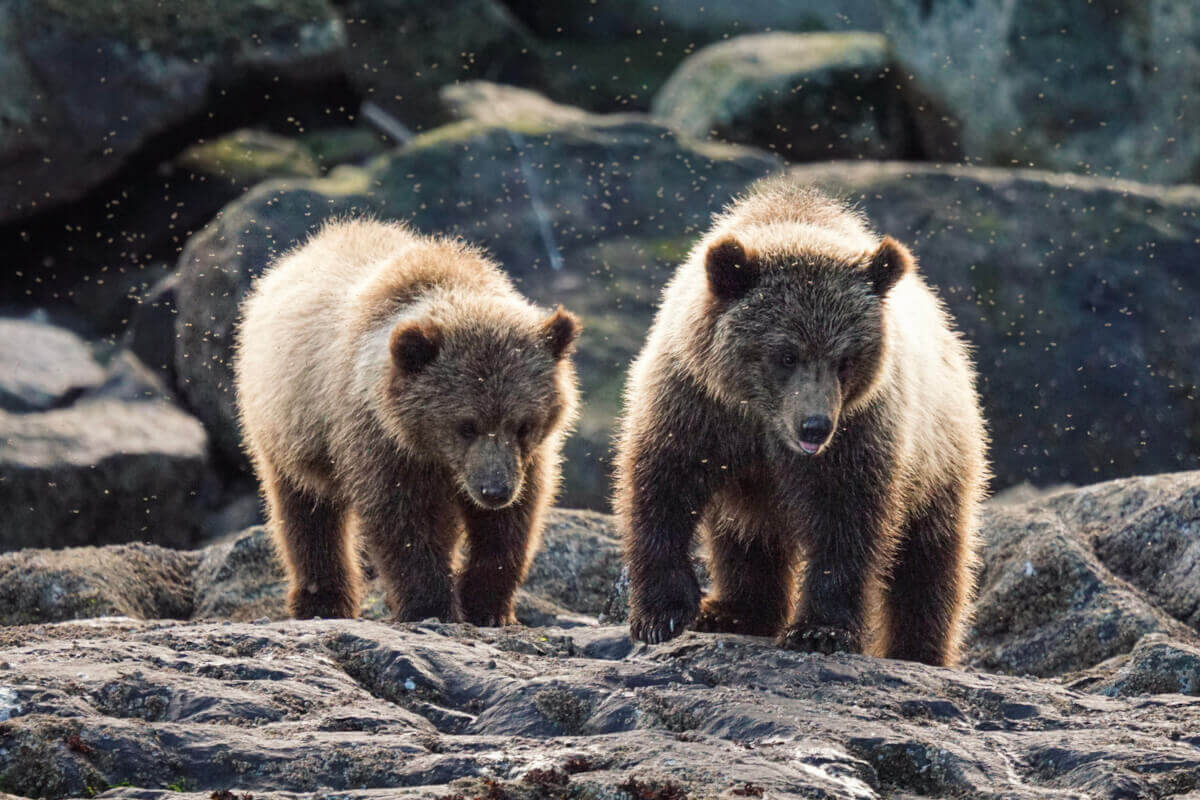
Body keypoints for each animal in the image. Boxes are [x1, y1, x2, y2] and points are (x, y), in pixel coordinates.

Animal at [234, 218, 580, 626]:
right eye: (466, 425)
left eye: (523, 425)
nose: (494, 491)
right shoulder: (378, 438)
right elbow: (402, 521)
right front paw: (431, 605)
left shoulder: (528, 458)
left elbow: (512, 523)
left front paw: (487, 606)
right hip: (291, 427)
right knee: (306, 511)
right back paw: (321, 600)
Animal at [614, 178, 988, 666]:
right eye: (786, 354)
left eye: (845, 358)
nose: (814, 426)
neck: (761, 418)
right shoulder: (696, 404)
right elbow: (662, 487)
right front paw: (662, 614)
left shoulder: (861, 430)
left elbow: (844, 518)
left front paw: (819, 630)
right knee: (745, 540)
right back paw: (734, 610)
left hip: (939, 454)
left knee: (930, 558)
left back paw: (919, 649)